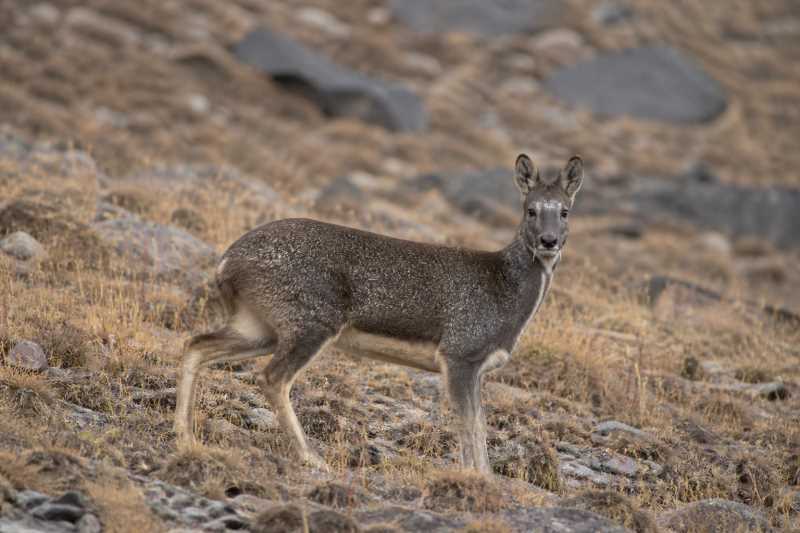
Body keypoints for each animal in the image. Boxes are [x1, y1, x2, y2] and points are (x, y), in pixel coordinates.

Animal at [174, 154, 583, 474]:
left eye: (565, 211)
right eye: (530, 210)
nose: (549, 241)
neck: (506, 290)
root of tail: (228, 261)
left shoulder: (476, 368)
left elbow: (478, 423)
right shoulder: (459, 354)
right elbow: (470, 424)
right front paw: (477, 480)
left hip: (259, 326)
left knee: (197, 344)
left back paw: (185, 436)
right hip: (309, 321)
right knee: (272, 377)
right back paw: (310, 457)